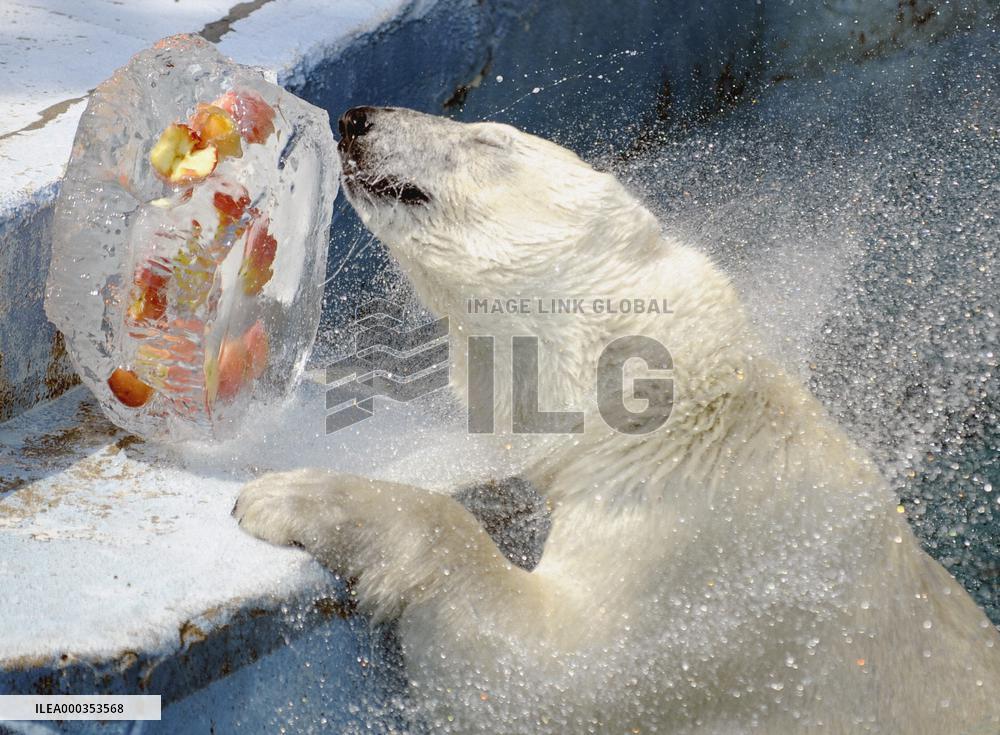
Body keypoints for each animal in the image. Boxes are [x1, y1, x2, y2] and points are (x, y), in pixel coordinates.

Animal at [234, 107, 1000, 734]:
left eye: (488, 139)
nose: (357, 117)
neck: (685, 412)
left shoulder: (700, 570)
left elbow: (540, 678)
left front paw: (289, 494)